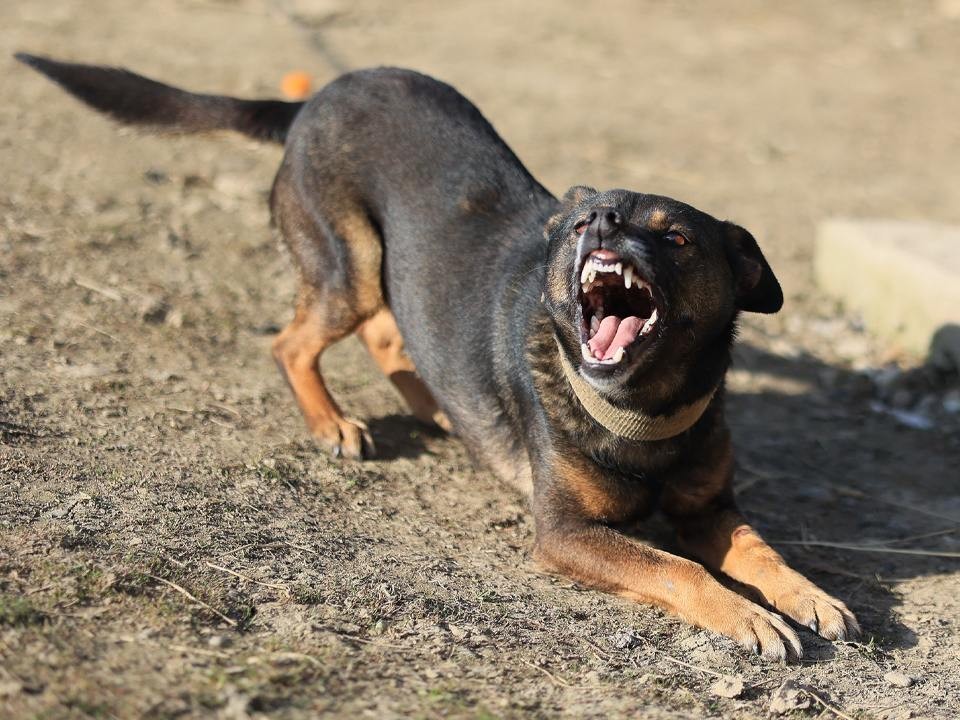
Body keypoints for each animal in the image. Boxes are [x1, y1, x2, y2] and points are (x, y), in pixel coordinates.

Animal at [15, 53, 860, 660]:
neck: (640, 409)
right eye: (584, 221)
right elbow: (676, 566)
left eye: (677, 237)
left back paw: (440, 409)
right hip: (350, 265)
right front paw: (748, 617)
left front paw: (811, 596)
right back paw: (332, 423)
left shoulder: (711, 509)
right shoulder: (565, 535)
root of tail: (317, 97)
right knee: (295, 340)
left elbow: (762, 551)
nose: (602, 223)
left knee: (393, 335)